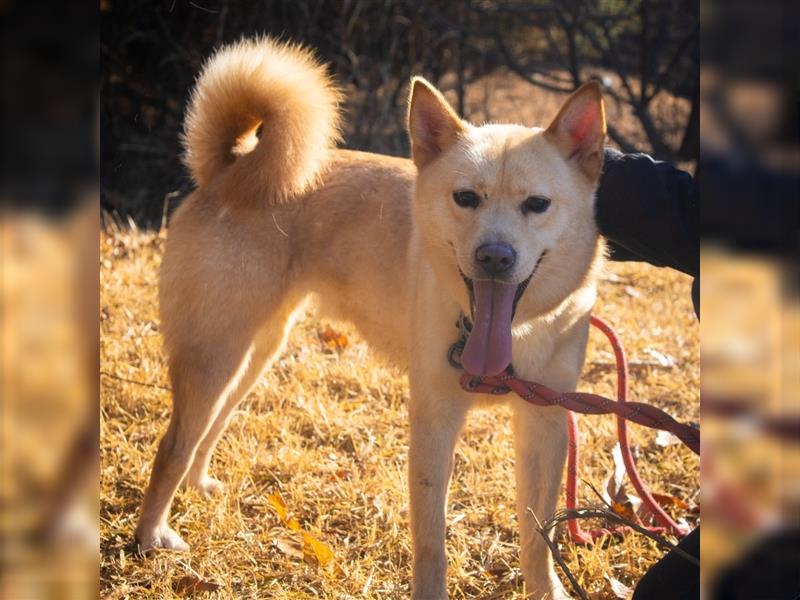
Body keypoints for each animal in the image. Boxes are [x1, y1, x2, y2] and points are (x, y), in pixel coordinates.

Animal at [133, 38, 608, 600]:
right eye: (465, 198)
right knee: (172, 447)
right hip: (215, 354)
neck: (511, 333)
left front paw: (545, 590)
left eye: (537, 204)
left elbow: (539, 535)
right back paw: (150, 536)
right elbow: (431, 542)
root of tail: (230, 169)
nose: (494, 257)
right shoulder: (433, 422)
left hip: (252, 354)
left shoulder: (544, 423)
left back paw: (198, 486)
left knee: (208, 429)